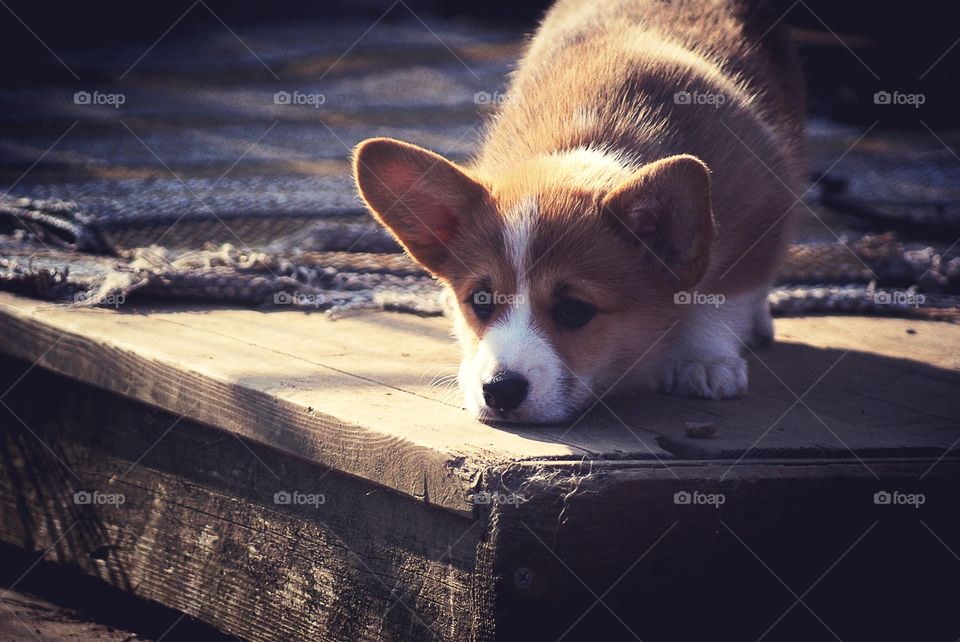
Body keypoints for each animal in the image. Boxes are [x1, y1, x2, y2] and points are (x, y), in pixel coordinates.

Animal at [352, 0, 804, 422]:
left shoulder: (762, 207)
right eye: (480, 300)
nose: (499, 391)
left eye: (574, 310)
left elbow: (723, 296)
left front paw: (705, 360)